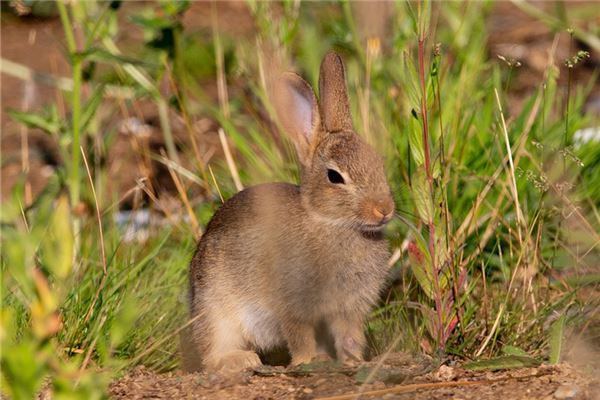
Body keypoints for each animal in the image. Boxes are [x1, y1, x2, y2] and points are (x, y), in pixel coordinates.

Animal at [189, 51, 394, 374]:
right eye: (335, 177)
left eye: (378, 162)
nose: (384, 210)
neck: (330, 222)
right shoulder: (292, 305)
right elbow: (299, 334)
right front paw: (308, 361)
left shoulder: (348, 308)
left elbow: (349, 335)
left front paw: (355, 362)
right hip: (216, 308)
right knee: (211, 351)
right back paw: (239, 360)